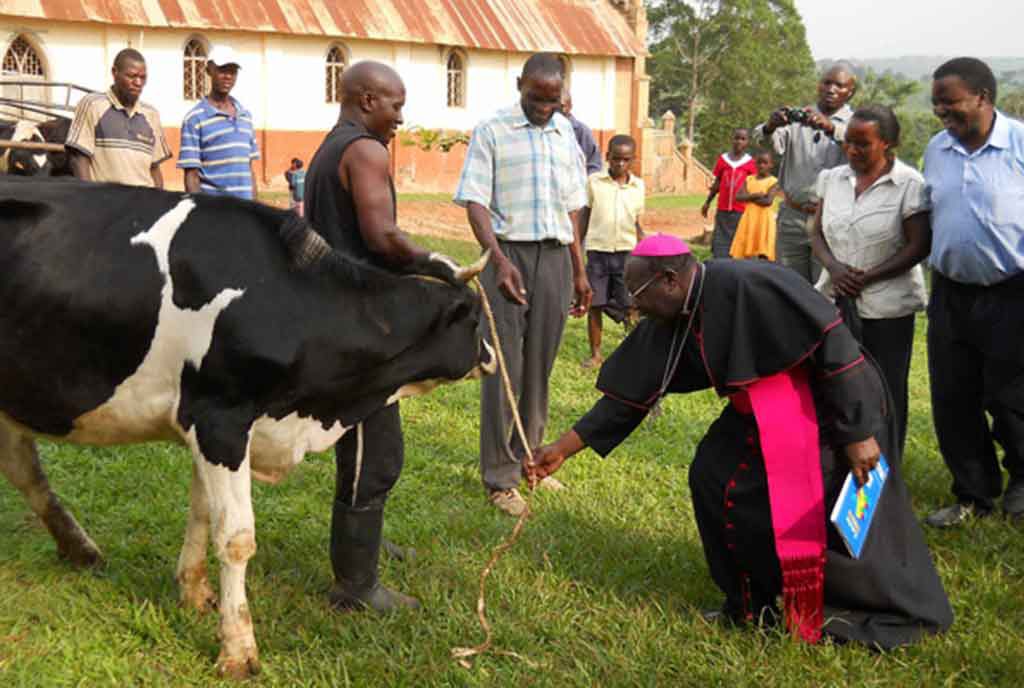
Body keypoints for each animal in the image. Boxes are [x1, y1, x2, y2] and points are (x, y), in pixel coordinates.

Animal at [0, 177, 495, 675]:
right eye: (474, 318)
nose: (492, 357)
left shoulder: (208, 428)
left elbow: (201, 513)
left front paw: (194, 592)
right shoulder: (219, 418)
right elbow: (236, 537)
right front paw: (238, 649)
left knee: (27, 473)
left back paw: (80, 549)